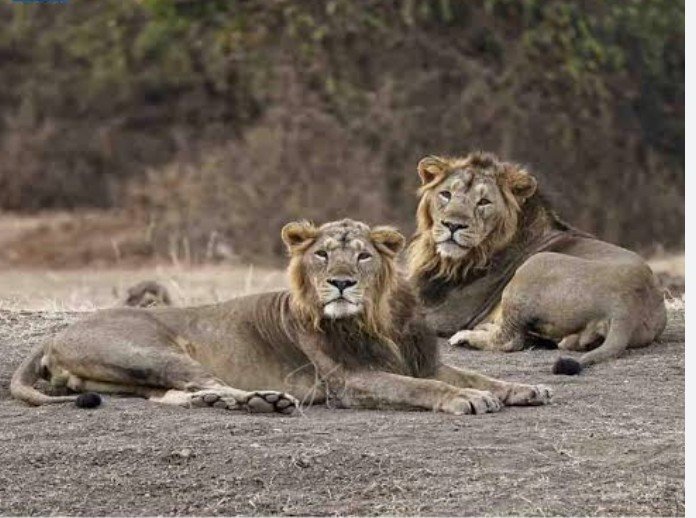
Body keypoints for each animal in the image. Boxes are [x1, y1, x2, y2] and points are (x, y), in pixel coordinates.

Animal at [11, 218, 551, 414]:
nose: (340, 282)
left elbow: (476, 375)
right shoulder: (351, 381)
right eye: (322, 255)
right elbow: (426, 388)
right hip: (153, 352)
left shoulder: (425, 360)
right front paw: (465, 400)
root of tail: (56, 334)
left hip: (133, 374)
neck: (380, 320)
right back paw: (260, 400)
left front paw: (524, 388)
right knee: (194, 385)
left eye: (362, 256)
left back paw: (250, 402)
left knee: (171, 397)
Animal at [408, 152, 667, 375]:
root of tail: (625, 308)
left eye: (483, 202)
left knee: (510, 339)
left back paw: (467, 336)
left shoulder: (446, 315)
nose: (453, 225)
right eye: (446, 194)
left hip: (535, 265)